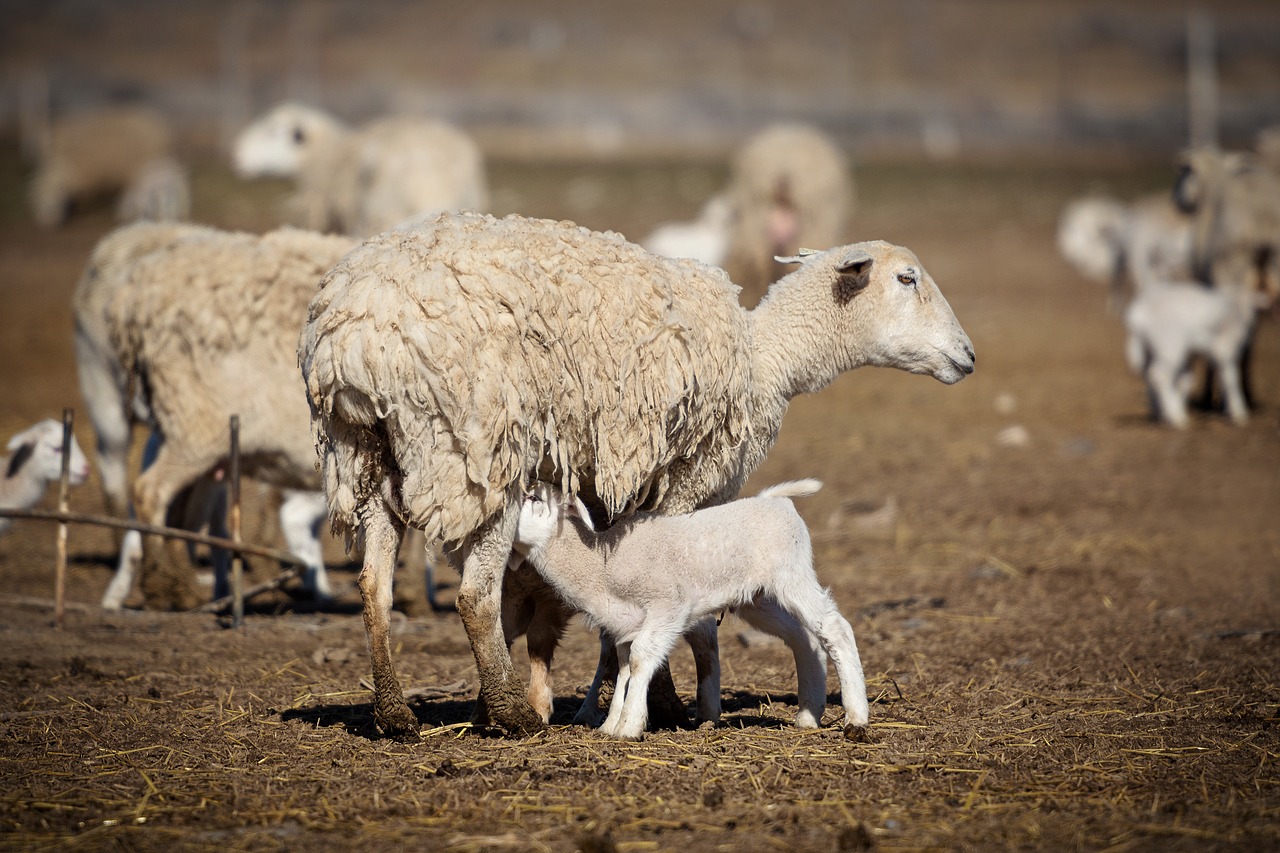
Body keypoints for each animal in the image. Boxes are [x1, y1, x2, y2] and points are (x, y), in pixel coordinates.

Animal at [29, 104, 186, 227]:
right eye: (154, 201)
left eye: (169, 203)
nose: (162, 219)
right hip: (76, 165)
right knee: (46, 183)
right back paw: (49, 215)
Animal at [509, 479, 870, 737]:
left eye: (535, 498)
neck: (602, 563)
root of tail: (774, 500)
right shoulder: (625, 623)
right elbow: (623, 665)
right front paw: (611, 724)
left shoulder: (668, 606)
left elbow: (640, 659)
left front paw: (630, 726)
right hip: (757, 597)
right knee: (804, 638)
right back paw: (808, 714)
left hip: (792, 575)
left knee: (835, 628)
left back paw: (856, 718)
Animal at [1121, 277, 1259, 427]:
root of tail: (1139, 313)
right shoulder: (1225, 350)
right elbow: (1230, 379)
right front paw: (1238, 412)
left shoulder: (1190, 356)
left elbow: (1186, 380)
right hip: (1170, 348)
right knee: (1159, 375)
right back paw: (1176, 417)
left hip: (1152, 351)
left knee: (1148, 376)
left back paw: (1159, 412)